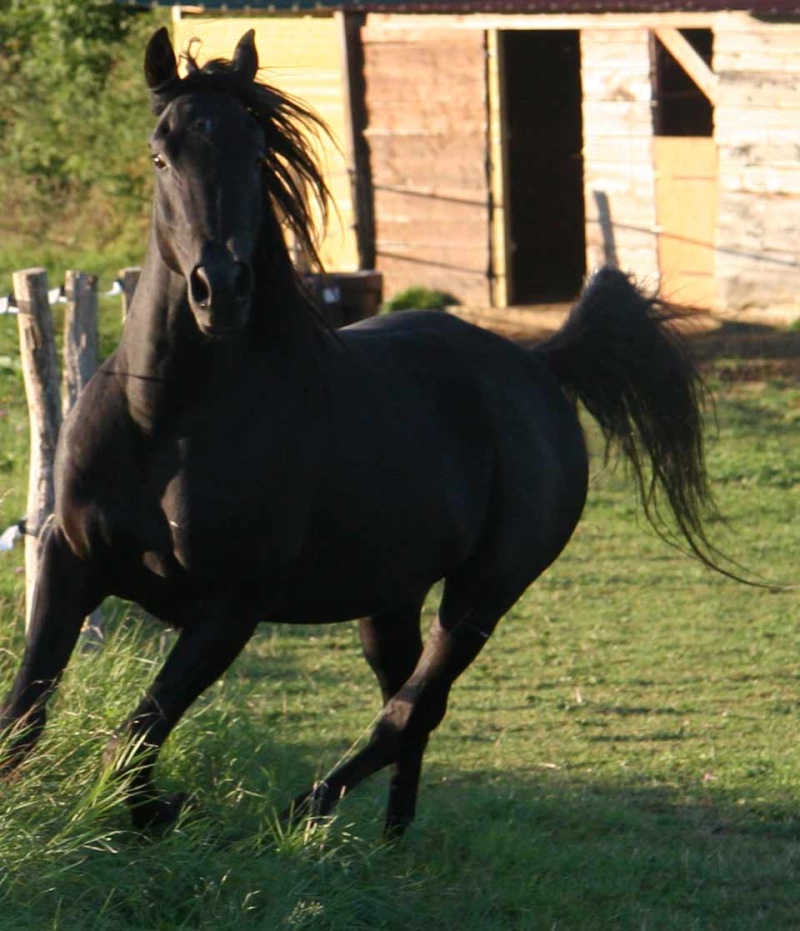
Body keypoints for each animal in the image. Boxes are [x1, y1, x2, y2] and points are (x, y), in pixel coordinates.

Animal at [0, 29, 724, 832]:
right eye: (162, 154)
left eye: (256, 152)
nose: (220, 290)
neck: (165, 423)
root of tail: (537, 363)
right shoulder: (68, 561)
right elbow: (26, 716)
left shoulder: (232, 605)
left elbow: (133, 737)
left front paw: (162, 808)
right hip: (389, 597)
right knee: (410, 705)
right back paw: (386, 839)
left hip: (483, 594)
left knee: (409, 710)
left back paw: (300, 816)